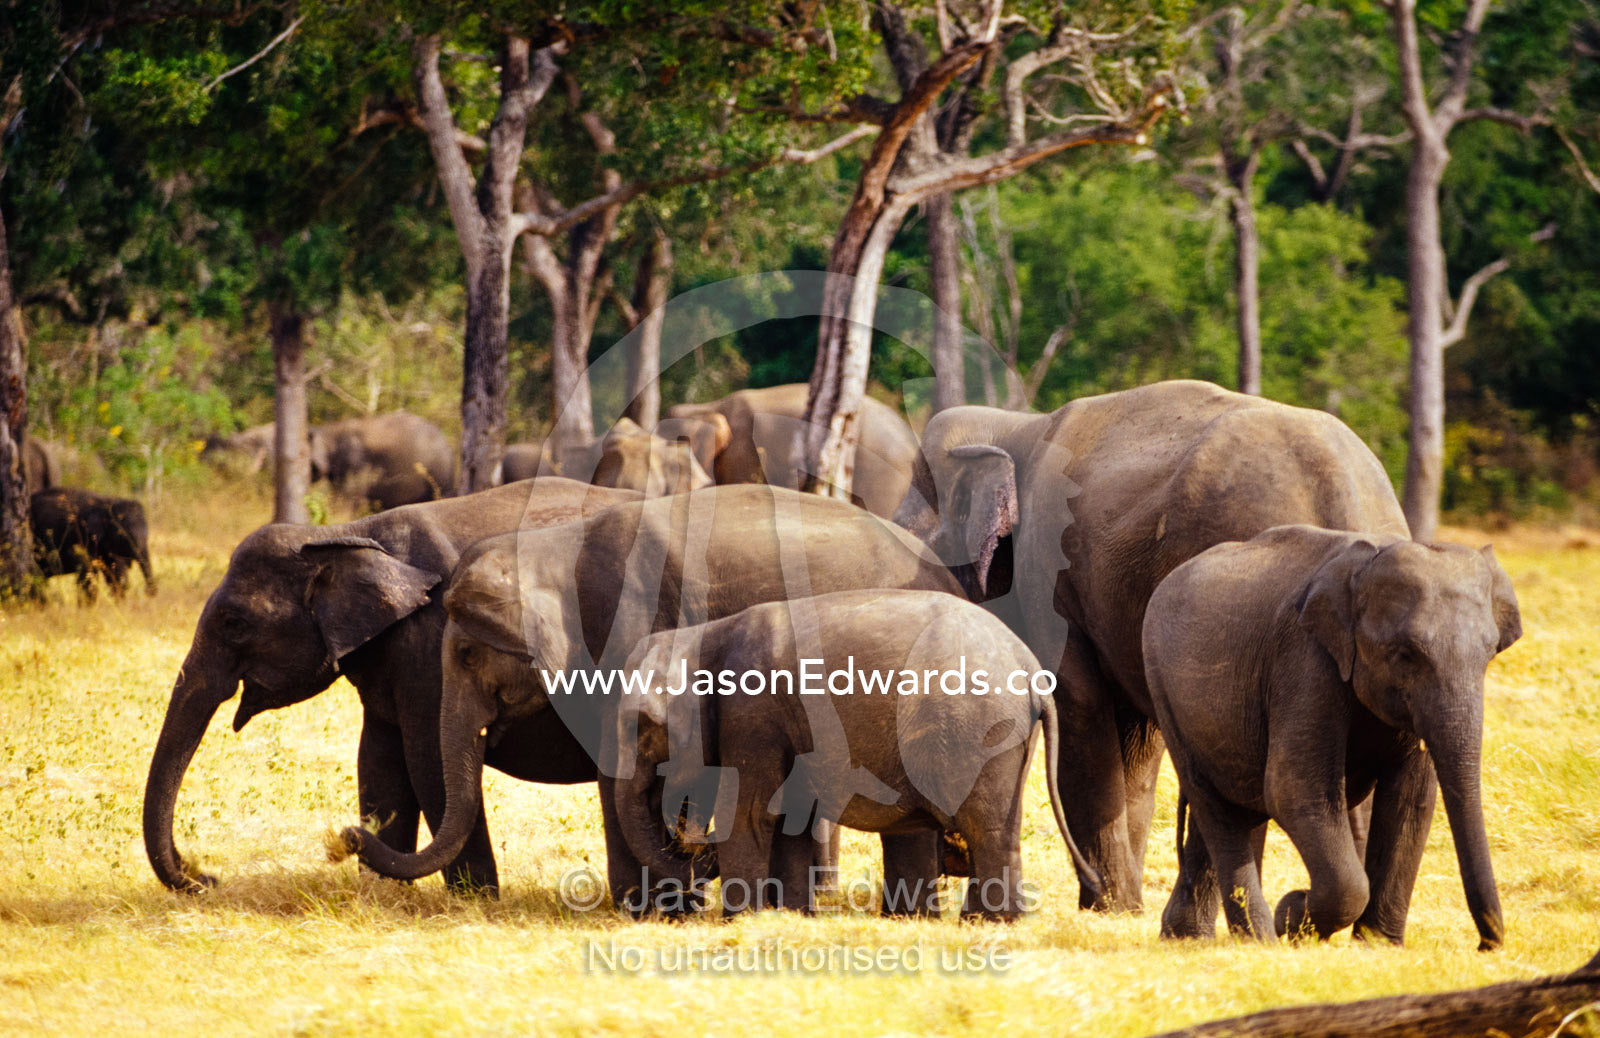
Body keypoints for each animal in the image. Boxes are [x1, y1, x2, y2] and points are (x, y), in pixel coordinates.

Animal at [142, 477, 639, 896]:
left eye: (233, 623)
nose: (206, 876)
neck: (343, 535)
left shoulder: (431, 647)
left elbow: (428, 762)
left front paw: (475, 902)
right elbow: (379, 761)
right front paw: (382, 897)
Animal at [330, 484, 967, 911]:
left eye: (464, 654)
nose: (343, 836)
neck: (550, 548)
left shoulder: (633, 627)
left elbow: (624, 768)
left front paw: (647, 909)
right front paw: (661, 905)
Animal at [611, 588, 1101, 919]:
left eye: (642, 726)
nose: (697, 841)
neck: (706, 635)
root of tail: (1030, 668)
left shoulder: (753, 717)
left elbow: (750, 816)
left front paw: (743, 919)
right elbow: (791, 819)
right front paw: (793, 915)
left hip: (981, 733)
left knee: (985, 824)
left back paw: (990, 921)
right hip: (1010, 741)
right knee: (1001, 825)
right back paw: (990, 921)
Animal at [893, 379, 1410, 912]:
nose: (951, 857)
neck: (1016, 426)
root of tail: (1342, 500)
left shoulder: (1049, 572)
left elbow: (1082, 709)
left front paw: (1111, 905)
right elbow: (1141, 742)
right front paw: (1124, 903)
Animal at [1142, 524, 1521, 950]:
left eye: (1490, 654)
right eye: (1405, 655)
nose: (1485, 946)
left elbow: (1410, 800)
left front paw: (1377, 945)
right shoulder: (1305, 659)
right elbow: (1294, 790)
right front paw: (1292, 916)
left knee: (1234, 807)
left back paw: (1189, 937)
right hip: (1163, 688)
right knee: (1218, 808)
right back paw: (1260, 939)